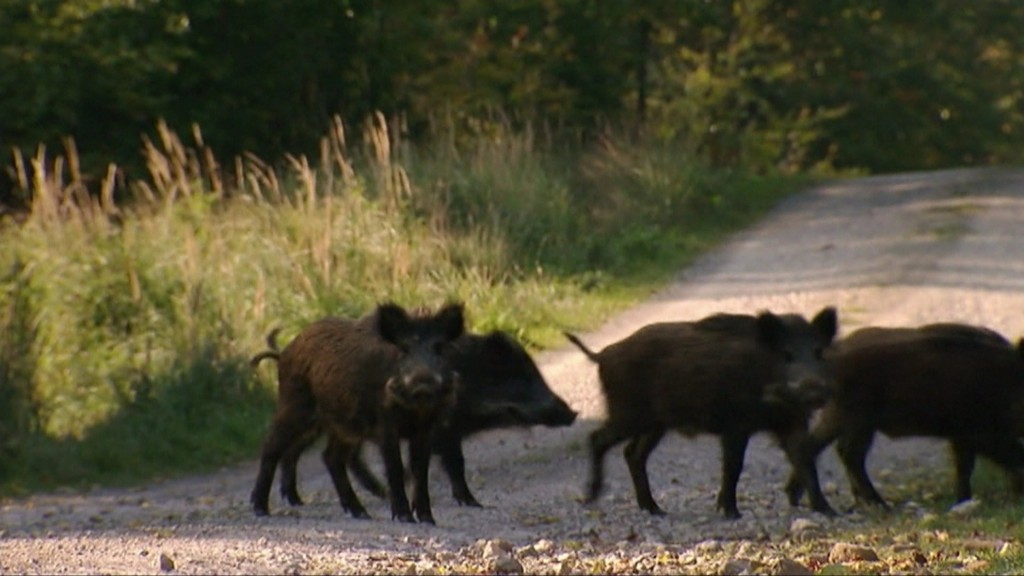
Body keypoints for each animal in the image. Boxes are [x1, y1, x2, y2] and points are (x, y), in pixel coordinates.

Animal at [249, 302, 466, 524]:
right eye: (404, 349)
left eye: (438, 348)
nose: (422, 385)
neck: (415, 410)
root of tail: (286, 351)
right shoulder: (385, 425)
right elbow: (394, 467)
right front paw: (404, 518)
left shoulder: (425, 428)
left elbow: (421, 471)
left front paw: (428, 520)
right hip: (295, 406)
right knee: (271, 447)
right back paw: (260, 509)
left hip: (344, 427)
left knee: (331, 457)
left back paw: (360, 513)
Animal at [256, 329, 578, 508]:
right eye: (518, 376)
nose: (572, 413)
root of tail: (283, 352)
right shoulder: (446, 431)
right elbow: (455, 464)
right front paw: (473, 503)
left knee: (328, 455)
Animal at [565, 306, 839, 519]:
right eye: (786, 354)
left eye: (819, 352)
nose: (814, 391)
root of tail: (601, 356)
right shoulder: (736, 425)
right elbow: (734, 466)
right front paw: (732, 514)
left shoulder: (792, 422)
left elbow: (806, 461)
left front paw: (829, 511)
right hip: (628, 414)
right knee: (598, 438)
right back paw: (591, 497)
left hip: (655, 424)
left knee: (633, 454)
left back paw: (655, 510)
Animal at [785, 322, 1024, 509]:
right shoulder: (977, 431)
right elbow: (992, 458)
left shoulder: (962, 434)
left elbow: (965, 466)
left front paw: (963, 500)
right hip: (854, 417)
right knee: (843, 453)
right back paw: (877, 505)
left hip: (847, 418)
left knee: (823, 448)